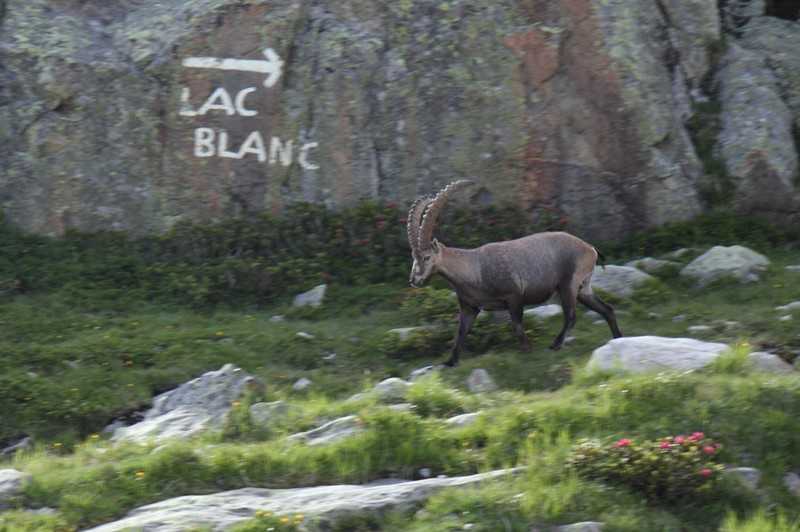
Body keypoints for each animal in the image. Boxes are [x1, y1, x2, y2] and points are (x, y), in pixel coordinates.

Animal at [407, 180, 622, 367]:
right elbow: (460, 333)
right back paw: (618, 338)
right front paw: (450, 362)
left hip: (567, 284)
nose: (414, 280)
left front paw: (527, 349)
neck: (474, 269)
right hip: (583, 288)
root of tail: (590, 248)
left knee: (571, 315)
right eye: (413, 257)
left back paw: (555, 344)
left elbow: (517, 326)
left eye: (426, 257)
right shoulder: (469, 307)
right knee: (607, 309)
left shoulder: (514, 296)